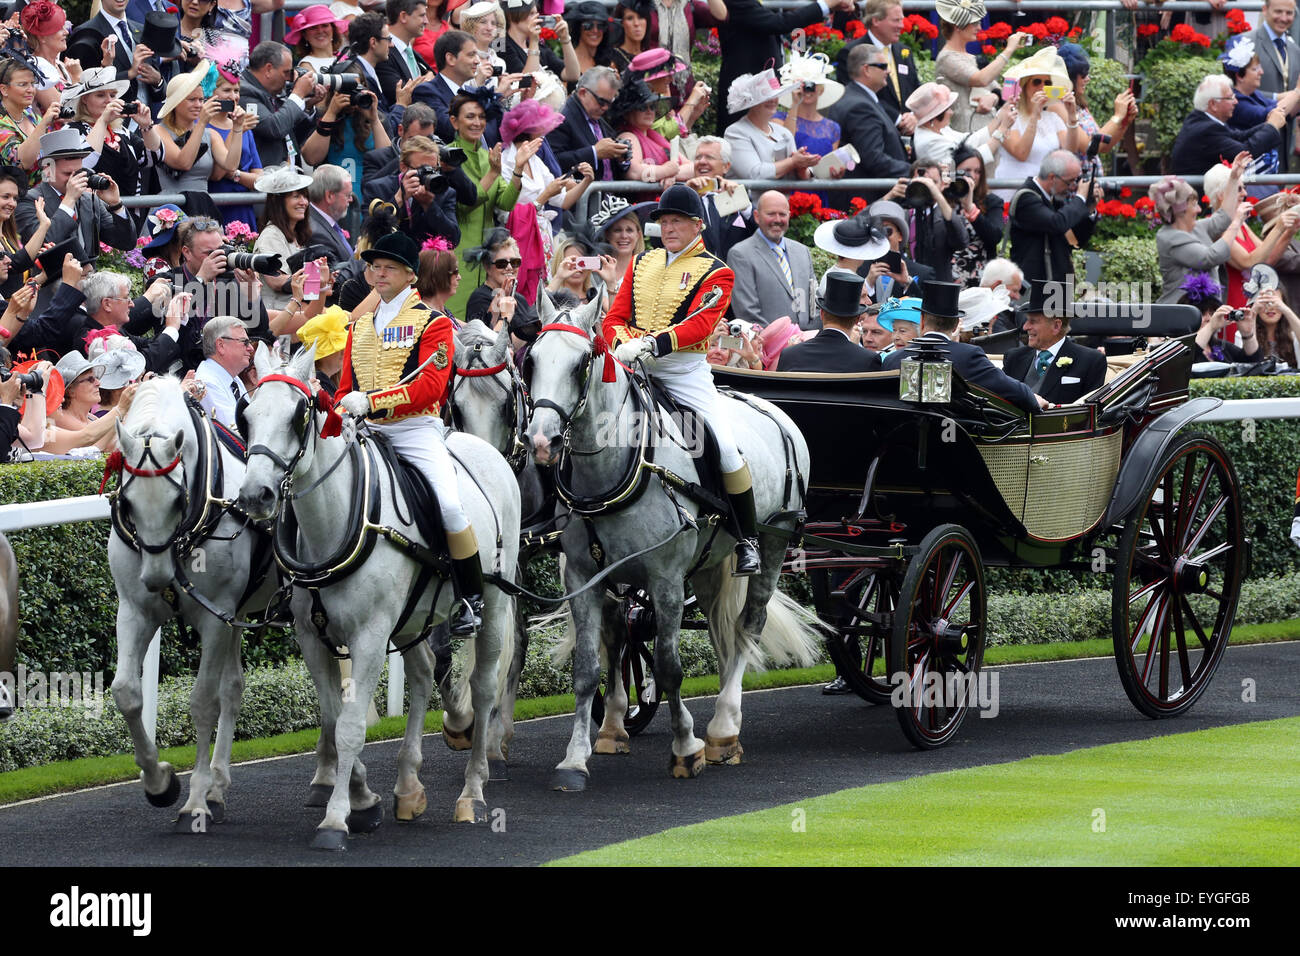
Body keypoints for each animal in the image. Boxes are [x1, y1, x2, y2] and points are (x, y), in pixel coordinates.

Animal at [520, 295, 816, 790]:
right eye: (531, 360)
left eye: (582, 362)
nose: (541, 440)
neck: (620, 466)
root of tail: (772, 409)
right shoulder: (583, 578)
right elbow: (587, 668)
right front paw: (576, 758)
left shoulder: (666, 581)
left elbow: (668, 667)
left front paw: (685, 748)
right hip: (711, 564)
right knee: (720, 630)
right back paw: (720, 728)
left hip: (772, 547)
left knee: (748, 625)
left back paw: (723, 725)